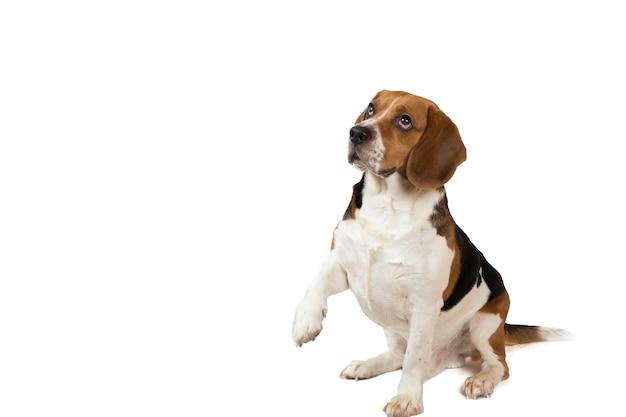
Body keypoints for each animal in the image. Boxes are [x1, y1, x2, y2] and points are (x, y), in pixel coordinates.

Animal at [292, 91, 564, 416]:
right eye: (371, 108)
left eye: (405, 121)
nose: (356, 133)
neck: (388, 206)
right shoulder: (342, 263)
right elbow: (315, 284)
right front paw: (305, 322)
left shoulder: (423, 305)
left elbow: (414, 358)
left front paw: (407, 398)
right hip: (393, 327)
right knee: (396, 354)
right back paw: (367, 365)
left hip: (484, 324)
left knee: (498, 364)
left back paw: (481, 380)